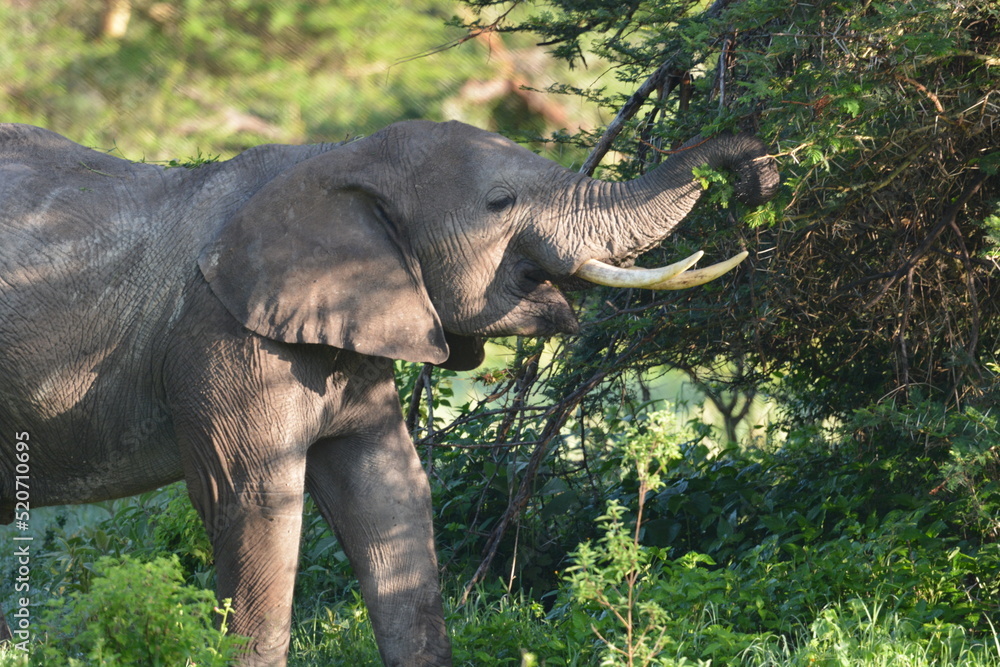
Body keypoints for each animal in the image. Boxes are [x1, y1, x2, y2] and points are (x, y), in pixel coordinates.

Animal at [0, 119, 777, 665]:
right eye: (501, 202)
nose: (758, 174)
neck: (337, 160)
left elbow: (388, 491)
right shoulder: (222, 336)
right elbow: (251, 501)